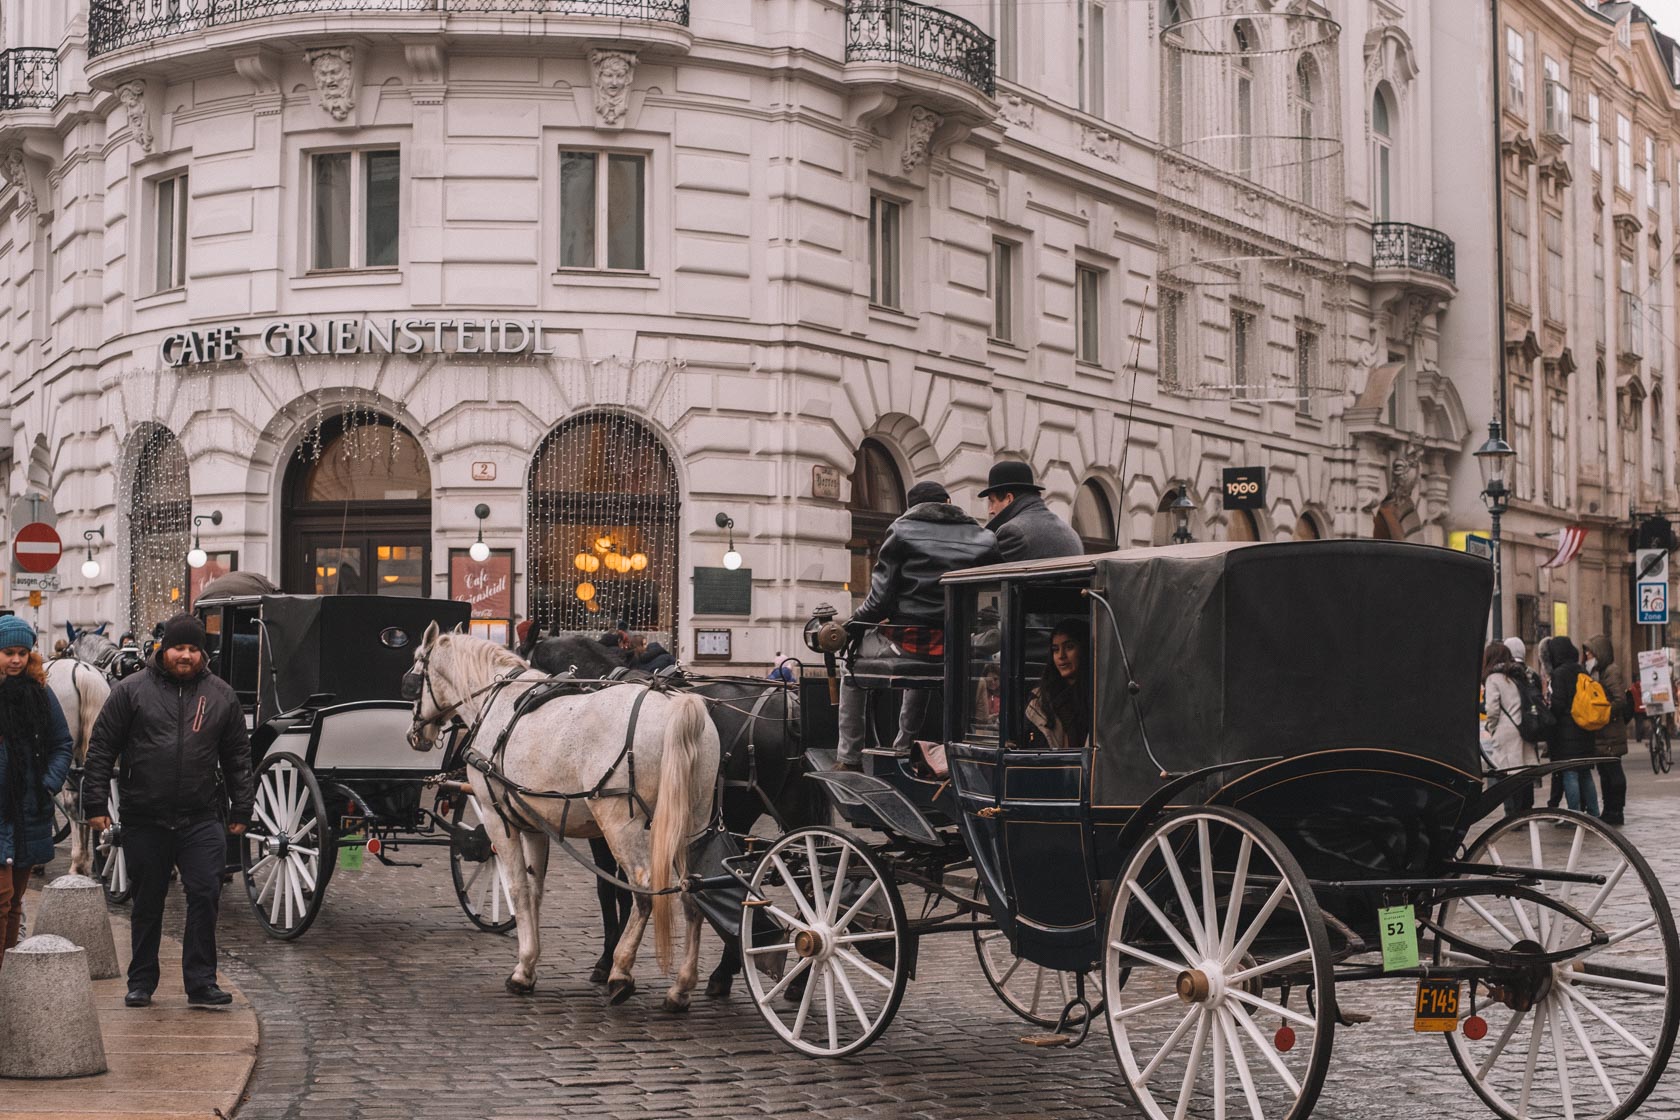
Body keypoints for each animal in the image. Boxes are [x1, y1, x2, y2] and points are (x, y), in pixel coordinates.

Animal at [411, 628, 722, 1014]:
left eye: (413, 678)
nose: (414, 734)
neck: (500, 702)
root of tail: (677, 706)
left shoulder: (500, 819)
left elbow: (517, 888)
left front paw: (523, 968)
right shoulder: (534, 825)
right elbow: (535, 890)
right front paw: (530, 962)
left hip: (620, 824)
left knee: (644, 890)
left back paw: (621, 972)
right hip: (692, 823)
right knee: (693, 894)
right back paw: (681, 988)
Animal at [524, 631, 826, 1000]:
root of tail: (793, 712)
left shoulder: (605, 828)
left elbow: (611, 890)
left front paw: (609, 960)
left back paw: (734, 973)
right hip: (788, 813)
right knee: (805, 883)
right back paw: (788, 978)